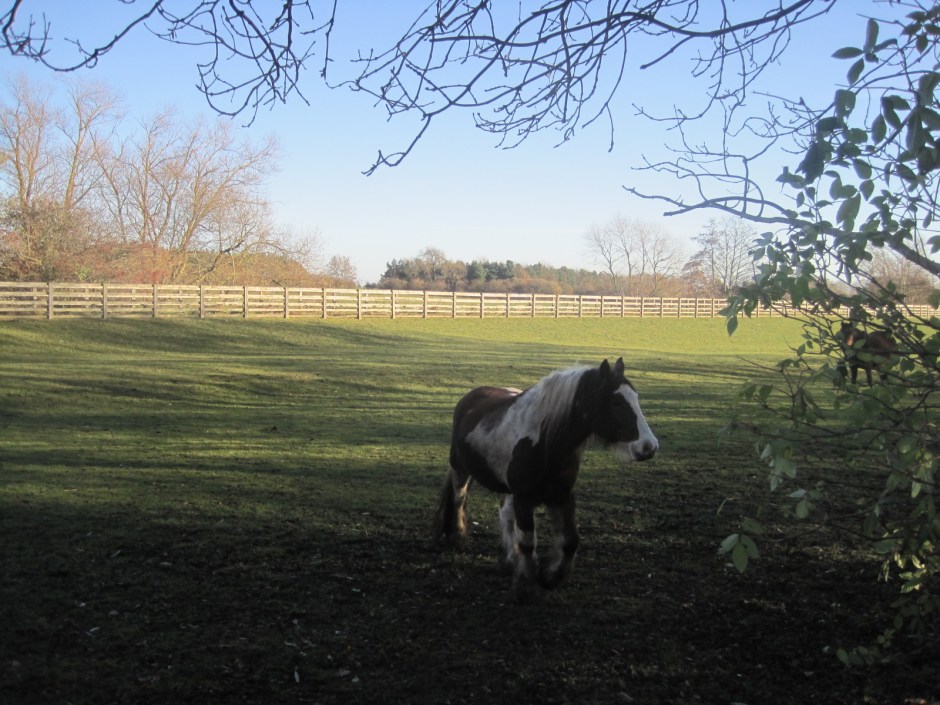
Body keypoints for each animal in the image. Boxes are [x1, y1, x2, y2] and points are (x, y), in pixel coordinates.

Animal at [433, 357, 658, 603]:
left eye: (635, 397)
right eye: (616, 401)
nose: (649, 446)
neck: (546, 441)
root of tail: (472, 396)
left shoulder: (562, 496)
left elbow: (570, 542)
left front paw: (550, 577)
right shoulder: (524, 499)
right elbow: (528, 541)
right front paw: (526, 586)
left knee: (504, 514)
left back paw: (509, 559)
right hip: (460, 468)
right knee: (459, 499)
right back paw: (456, 536)